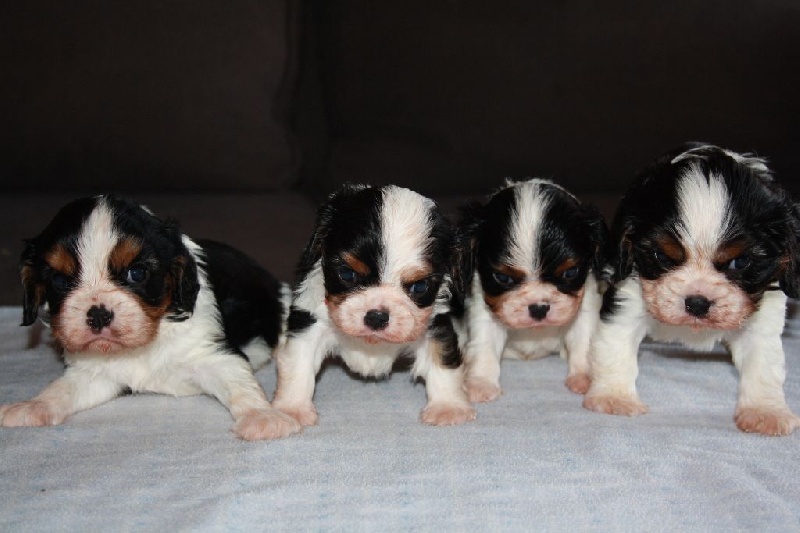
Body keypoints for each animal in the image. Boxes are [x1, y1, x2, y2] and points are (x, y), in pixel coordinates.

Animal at [0, 193, 300, 438]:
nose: (98, 315)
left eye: (137, 273)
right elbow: (62, 389)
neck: (149, 339)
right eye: (60, 281)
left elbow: (240, 384)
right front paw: (32, 406)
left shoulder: (214, 354)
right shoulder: (93, 372)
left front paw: (264, 417)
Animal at [262, 181, 476, 434]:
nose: (376, 317)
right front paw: (291, 409)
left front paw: (448, 407)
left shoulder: (436, 324)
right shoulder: (309, 322)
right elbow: (298, 364)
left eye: (420, 286)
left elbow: (443, 360)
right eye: (347, 274)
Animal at [456, 177, 608, 402]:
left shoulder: (585, 304)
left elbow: (583, 340)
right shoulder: (483, 310)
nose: (539, 308)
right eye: (503, 277)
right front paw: (481, 383)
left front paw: (585, 377)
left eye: (570, 273)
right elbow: (485, 343)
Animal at [580, 143, 800, 434]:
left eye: (739, 262)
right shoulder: (627, 295)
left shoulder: (763, 318)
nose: (697, 302)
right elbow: (615, 345)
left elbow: (763, 365)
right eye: (662, 257)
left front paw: (765, 411)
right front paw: (613, 397)